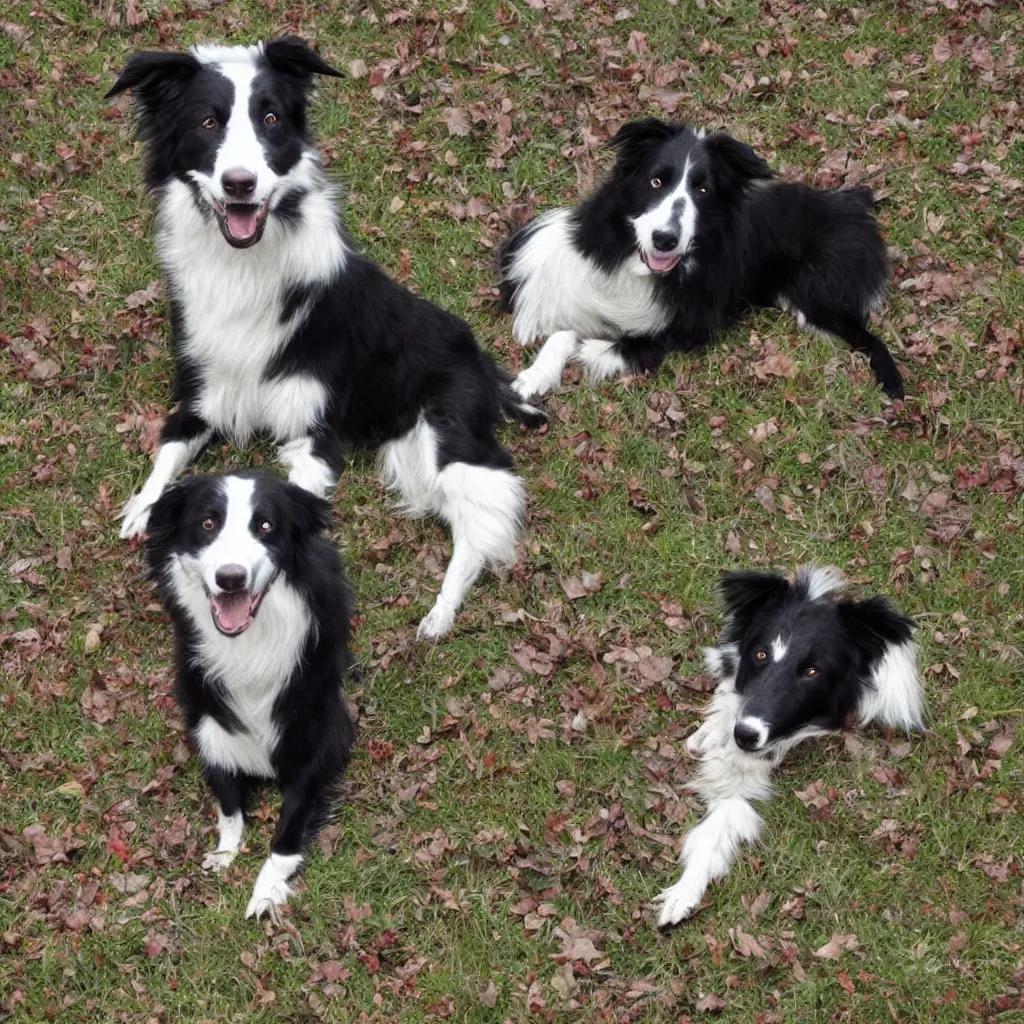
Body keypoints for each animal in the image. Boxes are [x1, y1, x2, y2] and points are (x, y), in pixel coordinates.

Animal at [108, 37, 548, 638]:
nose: (240, 183)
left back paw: (439, 612)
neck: (241, 267)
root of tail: (484, 363)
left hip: (446, 438)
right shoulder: (201, 396)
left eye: (270, 119)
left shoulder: (310, 435)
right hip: (407, 453)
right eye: (207, 122)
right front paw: (145, 506)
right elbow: (168, 451)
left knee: (479, 524)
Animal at [142, 468, 354, 917]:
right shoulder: (208, 725)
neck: (248, 645)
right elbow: (228, 803)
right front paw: (225, 852)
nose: (231, 578)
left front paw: (266, 890)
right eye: (208, 523)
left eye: (266, 526)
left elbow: (289, 823)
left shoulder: (322, 735)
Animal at [495, 117, 905, 401]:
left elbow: (637, 340)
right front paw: (534, 376)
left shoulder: (696, 319)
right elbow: (563, 330)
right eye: (656, 182)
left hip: (814, 295)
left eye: (703, 190)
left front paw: (596, 351)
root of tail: (854, 203)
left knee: (868, 337)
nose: (665, 240)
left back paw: (892, 383)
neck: (644, 269)